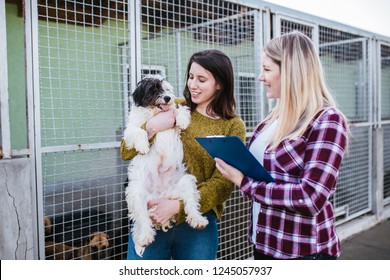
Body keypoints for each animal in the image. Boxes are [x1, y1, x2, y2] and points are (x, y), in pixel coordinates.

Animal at [123, 75, 209, 258]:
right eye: (153, 89)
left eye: (167, 89)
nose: (168, 98)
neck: (155, 112)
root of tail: (161, 195)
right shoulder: (130, 130)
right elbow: (139, 130)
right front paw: (143, 146)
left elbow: (179, 109)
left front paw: (182, 120)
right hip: (136, 193)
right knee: (143, 218)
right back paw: (145, 237)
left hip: (186, 182)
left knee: (191, 204)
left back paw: (198, 220)